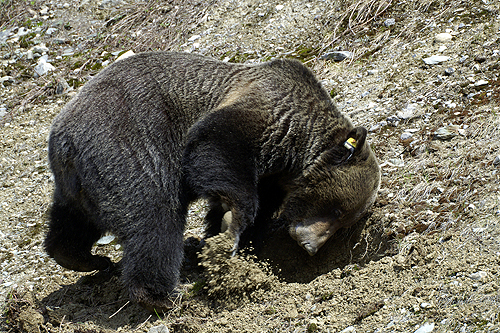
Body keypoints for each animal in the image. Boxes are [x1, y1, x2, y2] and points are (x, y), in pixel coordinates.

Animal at [45, 51, 380, 308]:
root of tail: (64, 137)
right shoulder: (260, 113)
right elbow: (216, 145)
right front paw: (229, 230)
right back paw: (159, 295)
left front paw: (229, 238)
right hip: (127, 145)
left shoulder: (271, 174)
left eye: (344, 222)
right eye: (336, 209)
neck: (293, 153)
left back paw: (82, 259)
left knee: (72, 220)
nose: (310, 245)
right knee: (155, 220)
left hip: (80, 182)